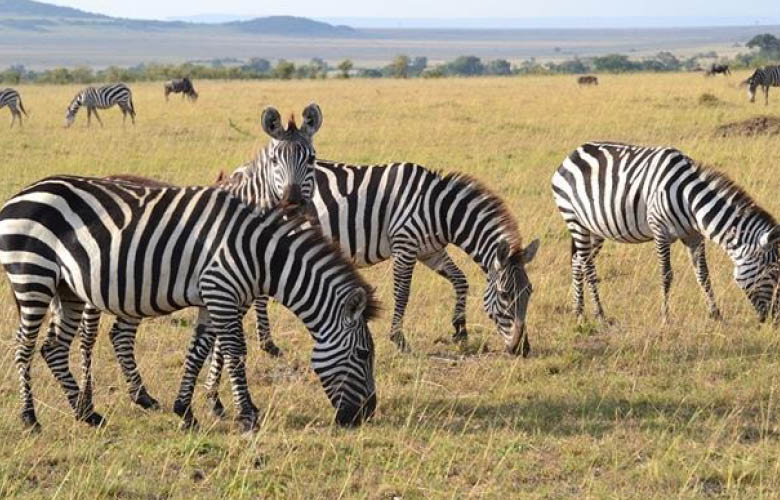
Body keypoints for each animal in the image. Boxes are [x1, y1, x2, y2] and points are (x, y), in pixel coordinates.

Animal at [0, 175, 378, 432]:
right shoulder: (222, 292)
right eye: (363, 355)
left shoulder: (212, 298)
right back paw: (30, 418)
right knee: (24, 347)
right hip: (32, 277)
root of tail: (21, 194)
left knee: (52, 348)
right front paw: (248, 415)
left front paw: (185, 411)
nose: (366, 415)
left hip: (67, 289)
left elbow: (197, 352)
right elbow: (236, 352)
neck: (259, 251)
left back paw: (87, 414)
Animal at [70, 103, 322, 416]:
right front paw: (218, 399)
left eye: (312, 159)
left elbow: (217, 344)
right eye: (275, 160)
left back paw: (142, 396)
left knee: (120, 335)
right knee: (88, 335)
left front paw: (215, 398)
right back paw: (87, 400)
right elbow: (225, 345)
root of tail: (106, 177)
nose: (294, 204)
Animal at [551, 141, 780, 323]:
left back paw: (579, 312)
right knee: (588, 266)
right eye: (772, 273)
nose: (775, 318)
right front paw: (665, 316)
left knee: (578, 261)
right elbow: (666, 275)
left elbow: (703, 274)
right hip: (575, 220)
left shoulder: (694, 236)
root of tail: (574, 152)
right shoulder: (660, 232)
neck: (690, 201)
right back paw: (599, 314)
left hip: (595, 228)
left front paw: (715, 314)